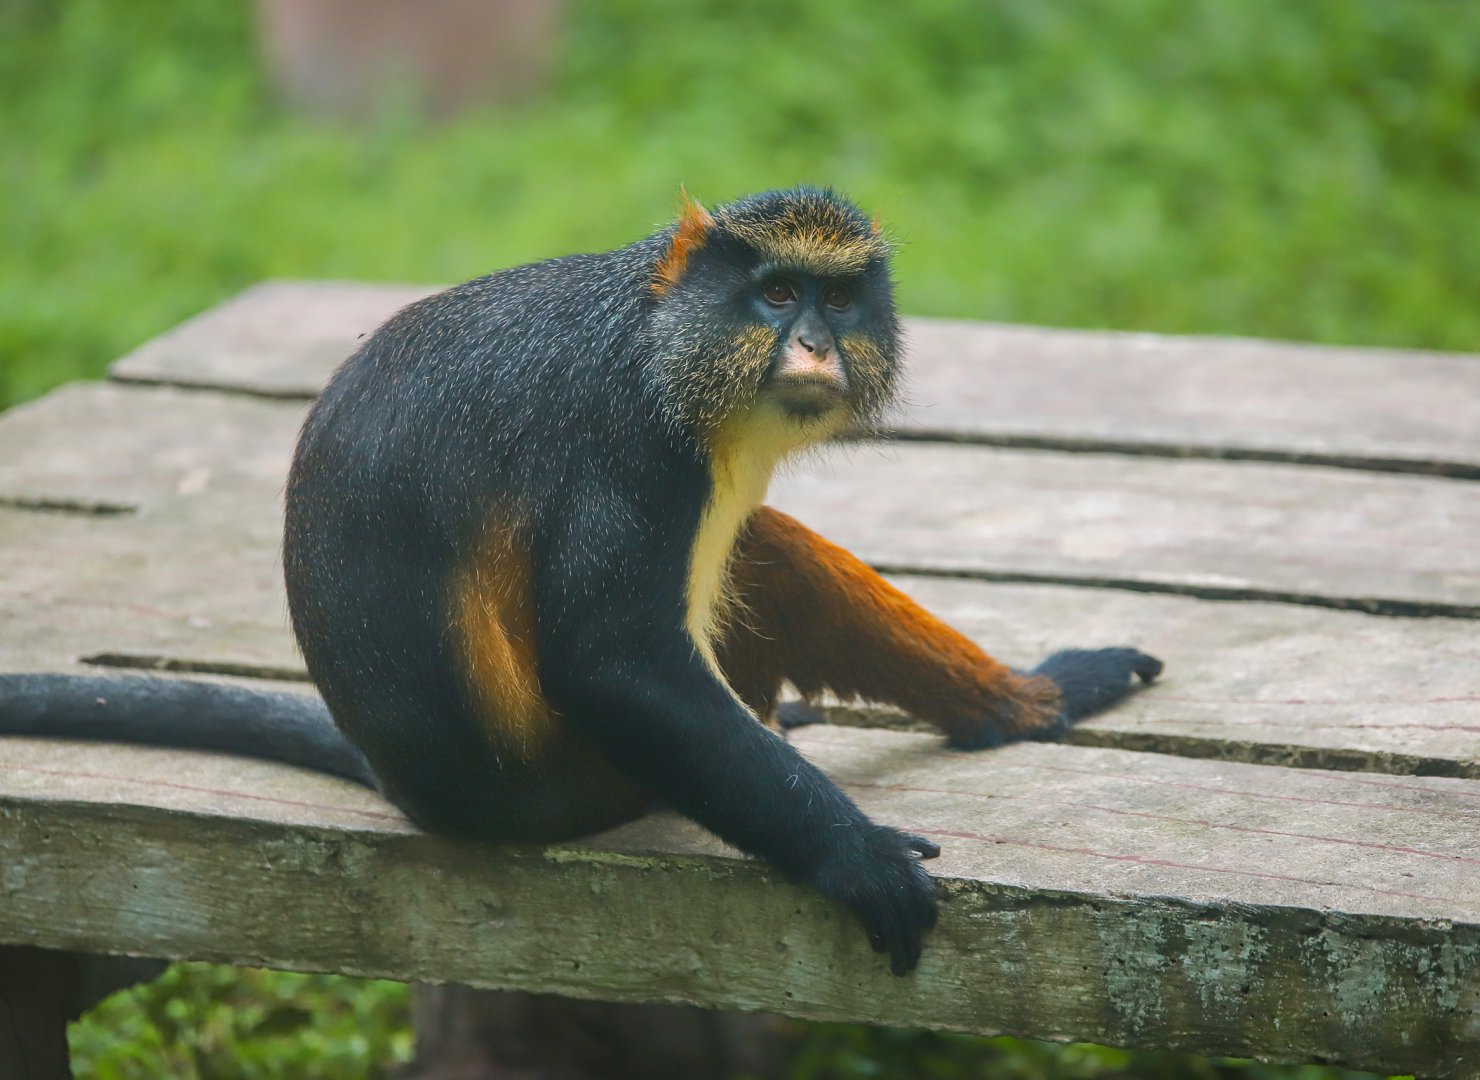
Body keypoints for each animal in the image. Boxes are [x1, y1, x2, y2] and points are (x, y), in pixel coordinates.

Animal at [0, 187, 1161, 974]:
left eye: (837, 298)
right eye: (777, 293)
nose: (814, 344)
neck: (663, 333)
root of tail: (418, 788)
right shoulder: (632, 449)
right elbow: (613, 662)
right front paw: (853, 854)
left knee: (768, 547)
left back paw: (1028, 700)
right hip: (595, 775)